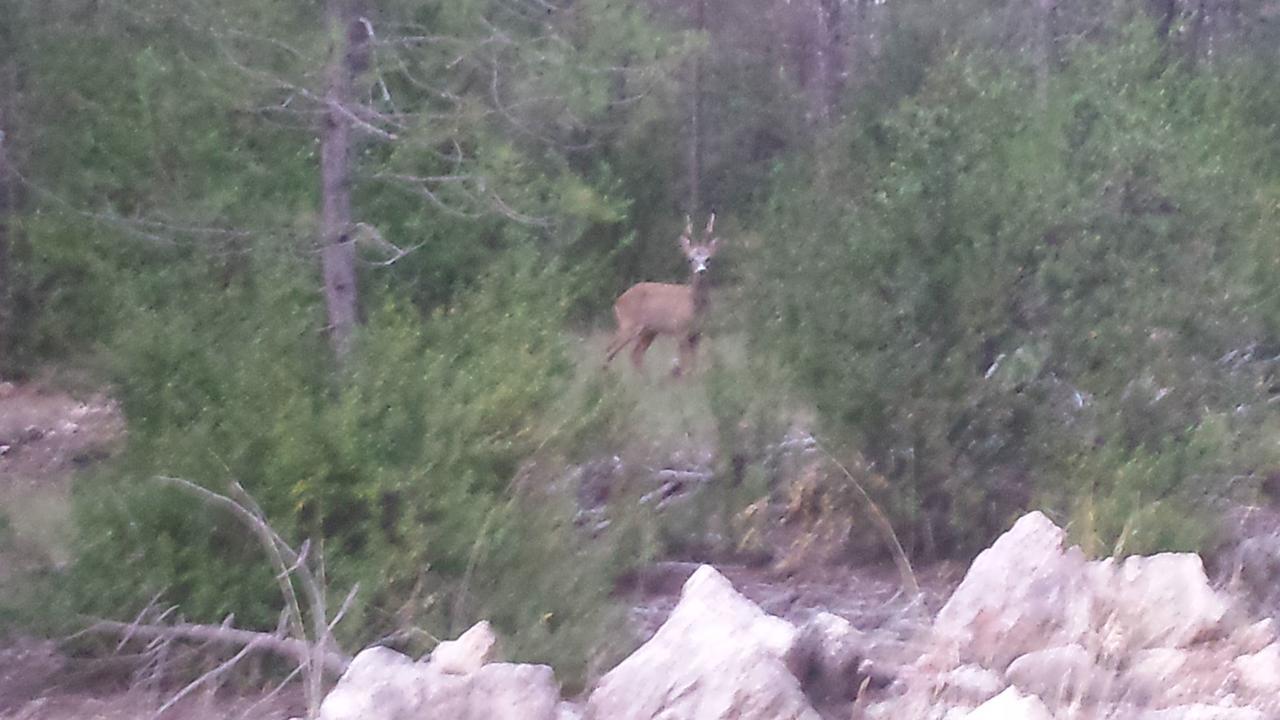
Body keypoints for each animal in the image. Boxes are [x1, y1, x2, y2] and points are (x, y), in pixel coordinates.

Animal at [601, 211, 721, 376]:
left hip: (649, 331)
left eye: (708, 259)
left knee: (635, 354)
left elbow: (693, 365)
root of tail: (618, 300)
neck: (694, 306)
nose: (701, 271)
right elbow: (685, 366)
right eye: (691, 259)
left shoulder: (698, 334)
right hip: (628, 324)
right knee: (609, 350)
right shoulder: (680, 330)